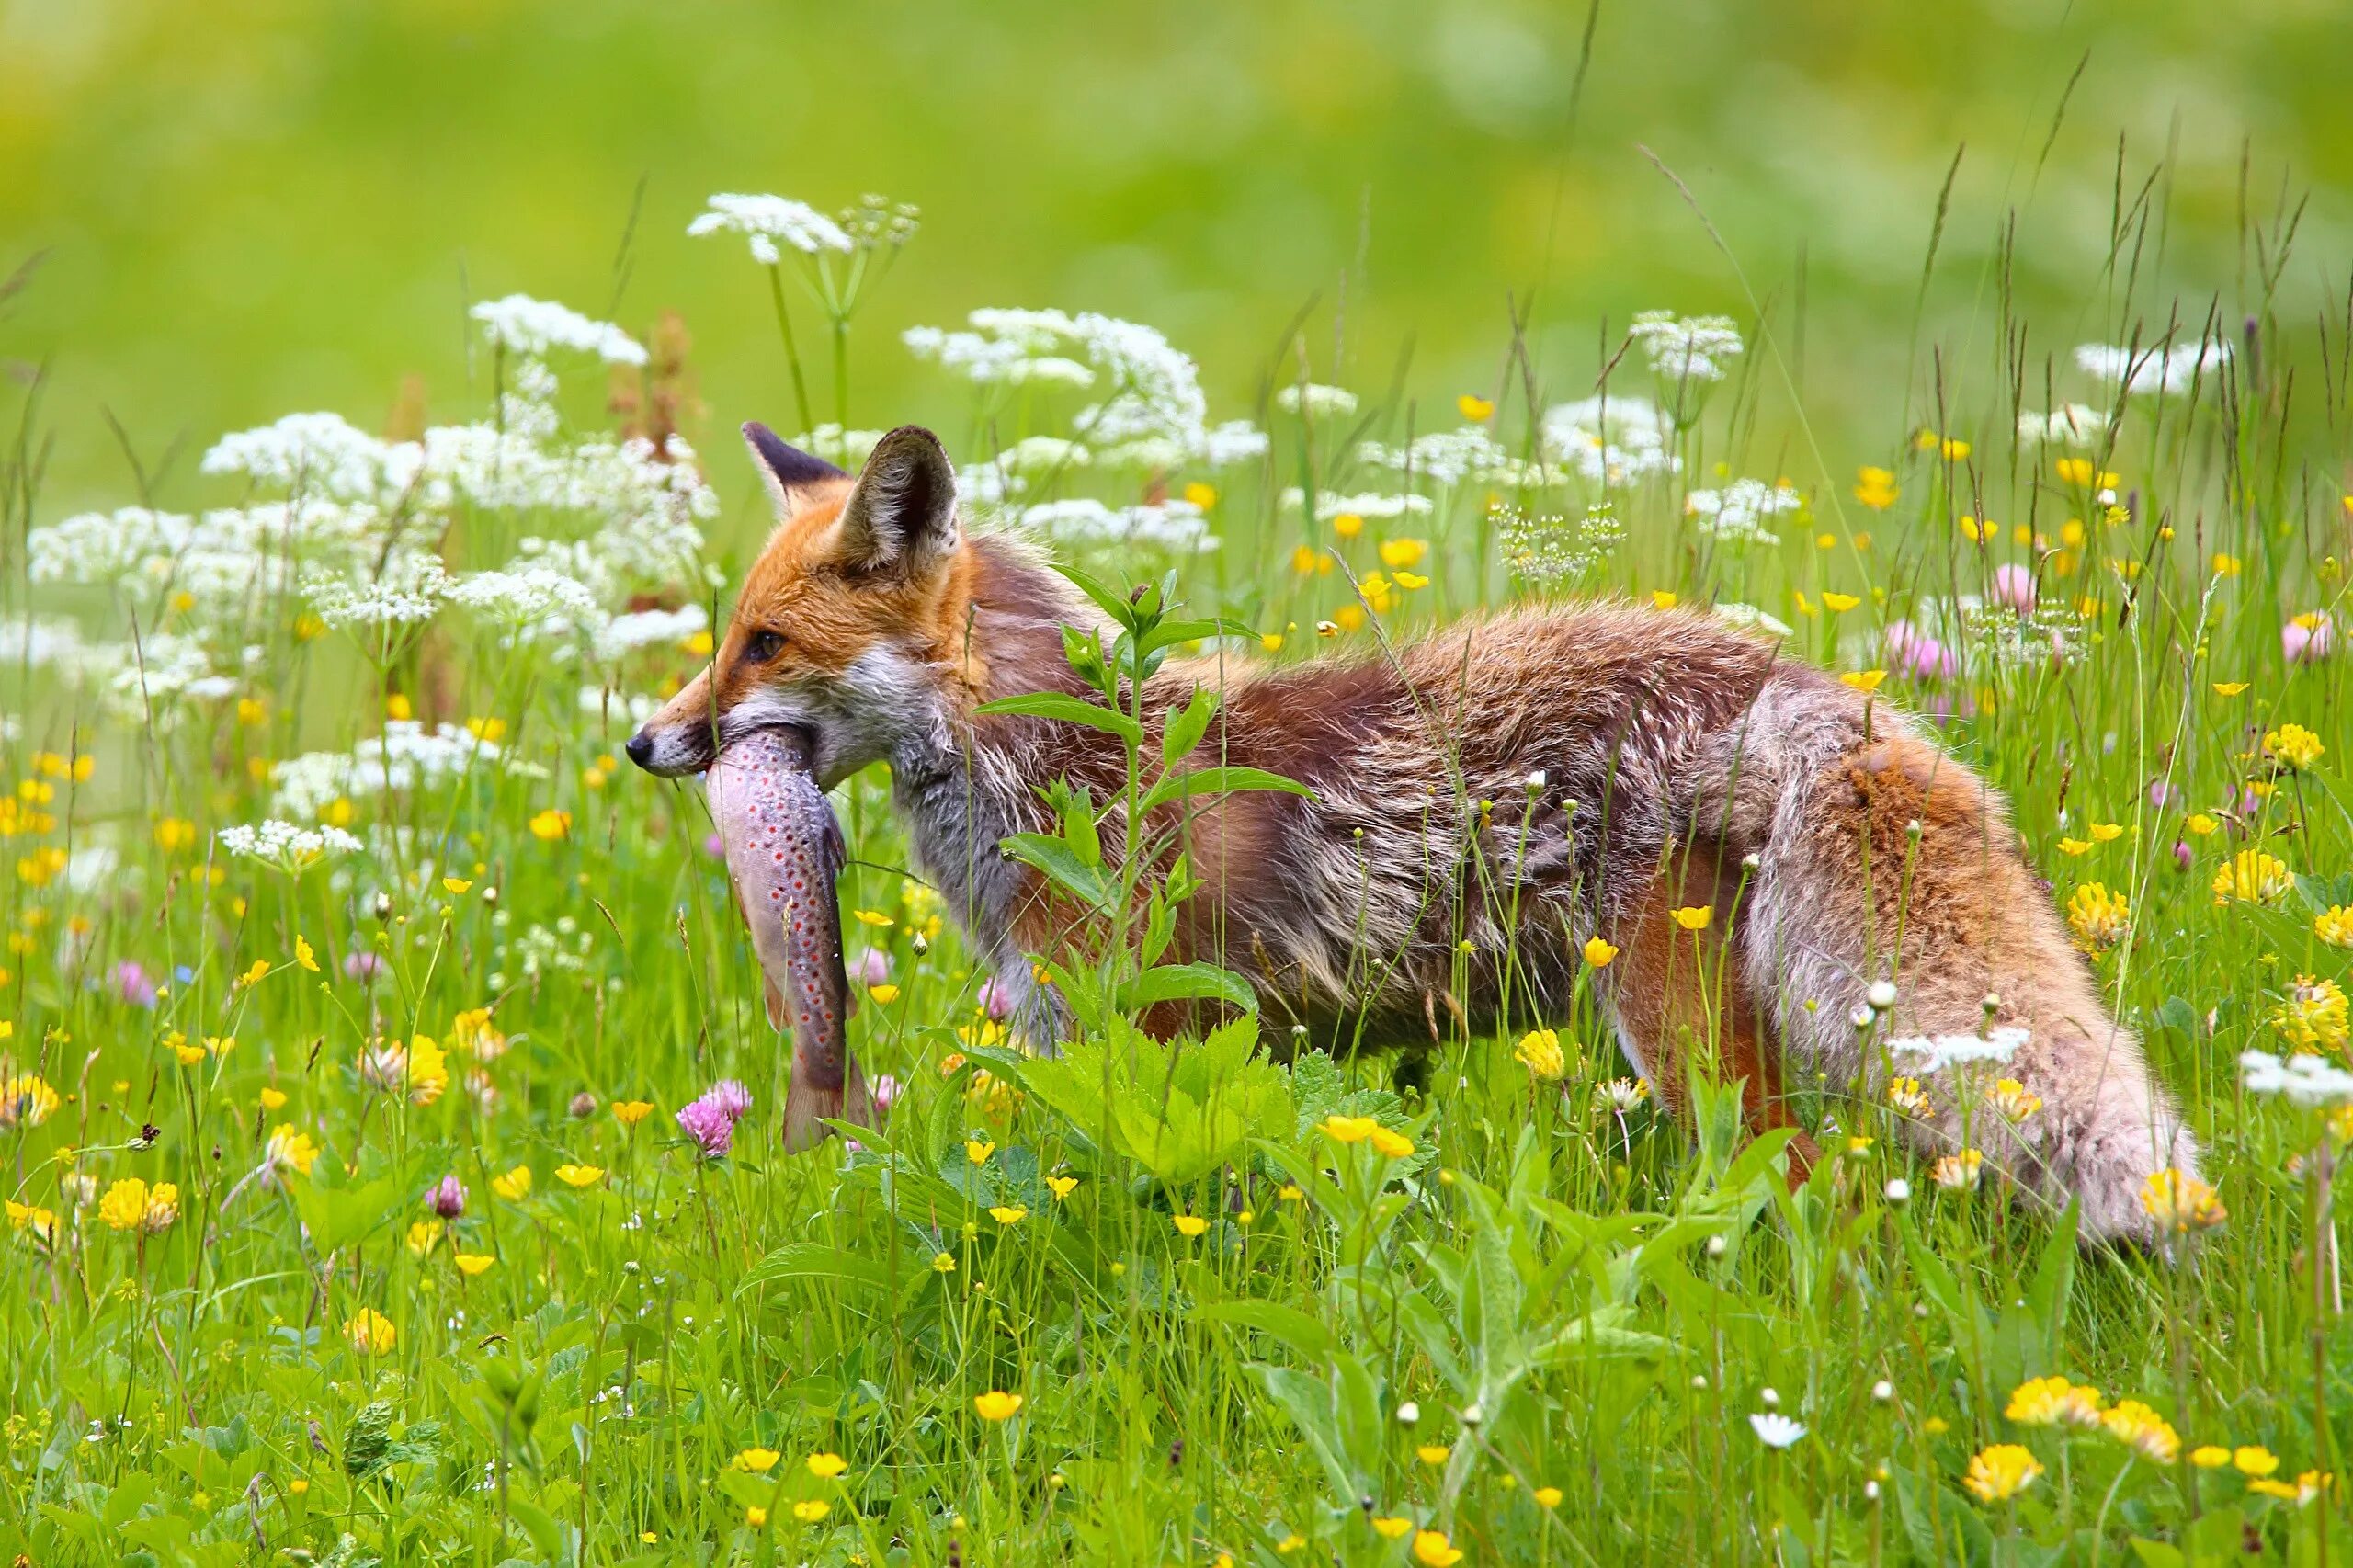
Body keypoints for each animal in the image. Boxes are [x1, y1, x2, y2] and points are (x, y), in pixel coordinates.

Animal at [631, 418, 2202, 1243]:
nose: (646, 743)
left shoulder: (1149, 1037)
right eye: (723, 639)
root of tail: (1796, 685)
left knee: (1813, 1190)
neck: (1068, 768)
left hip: (1681, 1038)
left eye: (764, 646)